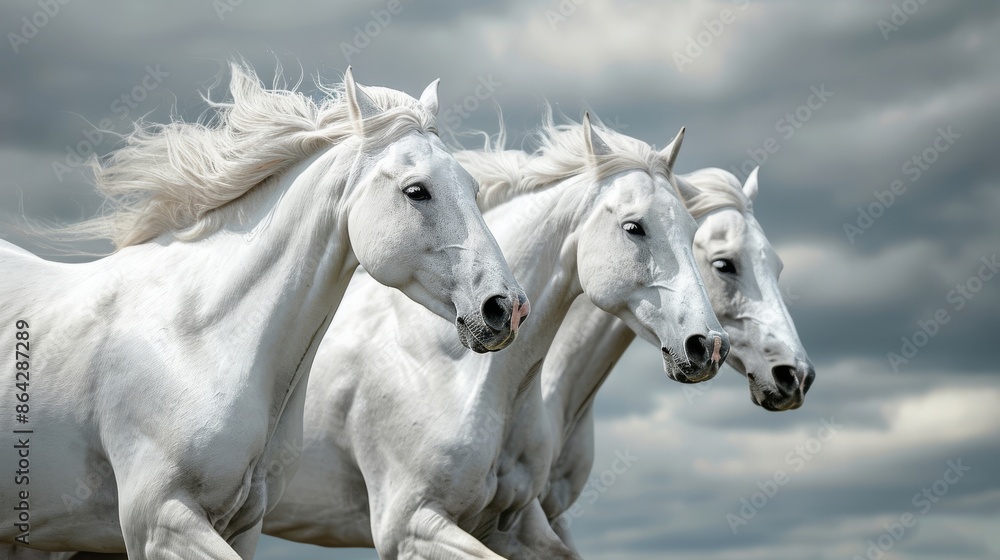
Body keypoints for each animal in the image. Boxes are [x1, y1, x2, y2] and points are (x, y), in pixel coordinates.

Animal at [0, 64, 527, 559]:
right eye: (416, 191)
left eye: (473, 188)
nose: (506, 308)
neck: (201, 341)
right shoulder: (158, 523)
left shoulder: (243, 527)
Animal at [260, 114, 729, 559]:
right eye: (634, 228)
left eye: (692, 234)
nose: (708, 346)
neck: (457, 371)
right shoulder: (410, 526)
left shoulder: (516, 524)